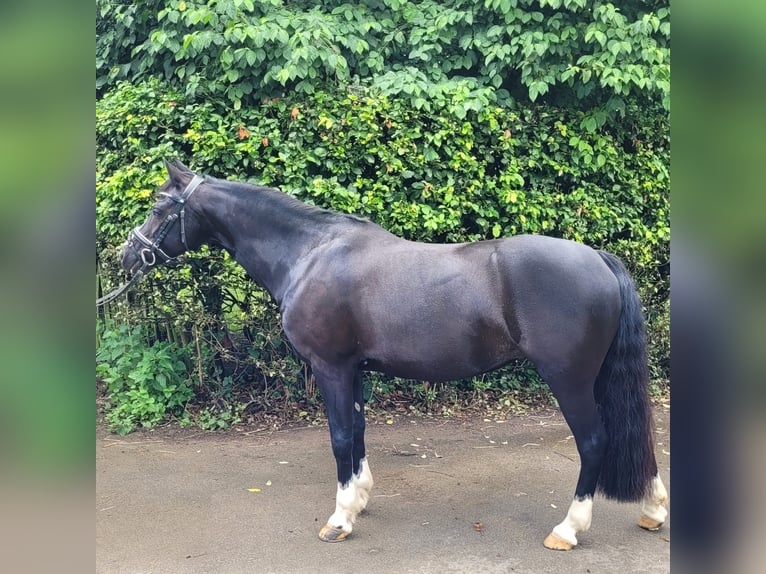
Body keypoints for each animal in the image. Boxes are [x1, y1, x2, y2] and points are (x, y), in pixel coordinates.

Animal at [118, 160, 664, 552]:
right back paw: (653, 510)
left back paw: (568, 529)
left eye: (160, 206)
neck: (311, 253)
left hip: (569, 380)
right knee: (636, 434)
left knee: (595, 441)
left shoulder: (331, 368)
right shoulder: (354, 370)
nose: (125, 257)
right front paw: (359, 498)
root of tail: (600, 259)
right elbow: (358, 431)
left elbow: (340, 437)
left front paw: (339, 519)